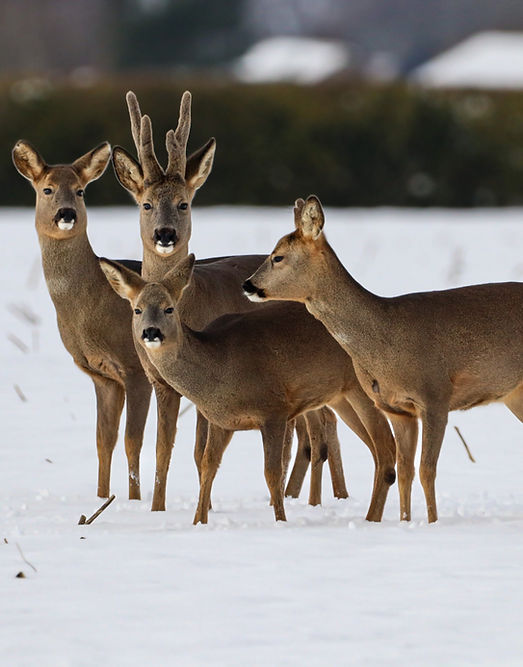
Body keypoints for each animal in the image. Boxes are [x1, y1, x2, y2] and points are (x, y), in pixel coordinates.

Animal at [11, 140, 152, 501]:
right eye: (46, 189)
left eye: (80, 191)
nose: (66, 213)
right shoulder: (102, 375)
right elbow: (104, 441)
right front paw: (102, 498)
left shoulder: (135, 367)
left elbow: (133, 441)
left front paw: (133, 501)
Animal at [99, 253, 397, 524]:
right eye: (137, 309)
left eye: (169, 308)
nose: (151, 332)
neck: (218, 367)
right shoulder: (221, 421)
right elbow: (208, 465)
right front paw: (198, 522)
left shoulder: (273, 409)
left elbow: (272, 472)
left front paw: (280, 521)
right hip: (340, 395)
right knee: (377, 448)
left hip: (361, 389)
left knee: (386, 448)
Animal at [111, 90, 353, 510]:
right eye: (145, 203)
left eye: (184, 203)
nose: (165, 234)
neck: (191, 304)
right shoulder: (161, 382)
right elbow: (162, 450)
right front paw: (157, 508)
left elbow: (197, 451)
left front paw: (201, 507)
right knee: (320, 428)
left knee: (320, 429)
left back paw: (320, 498)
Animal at [243, 195, 523, 523]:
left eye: (278, 257)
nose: (247, 285)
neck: (386, 340)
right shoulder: (397, 409)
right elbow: (405, 472)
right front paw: (404, 521)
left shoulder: (435, 395)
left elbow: (427, 471)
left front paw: (433, 523)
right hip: (515, 395)